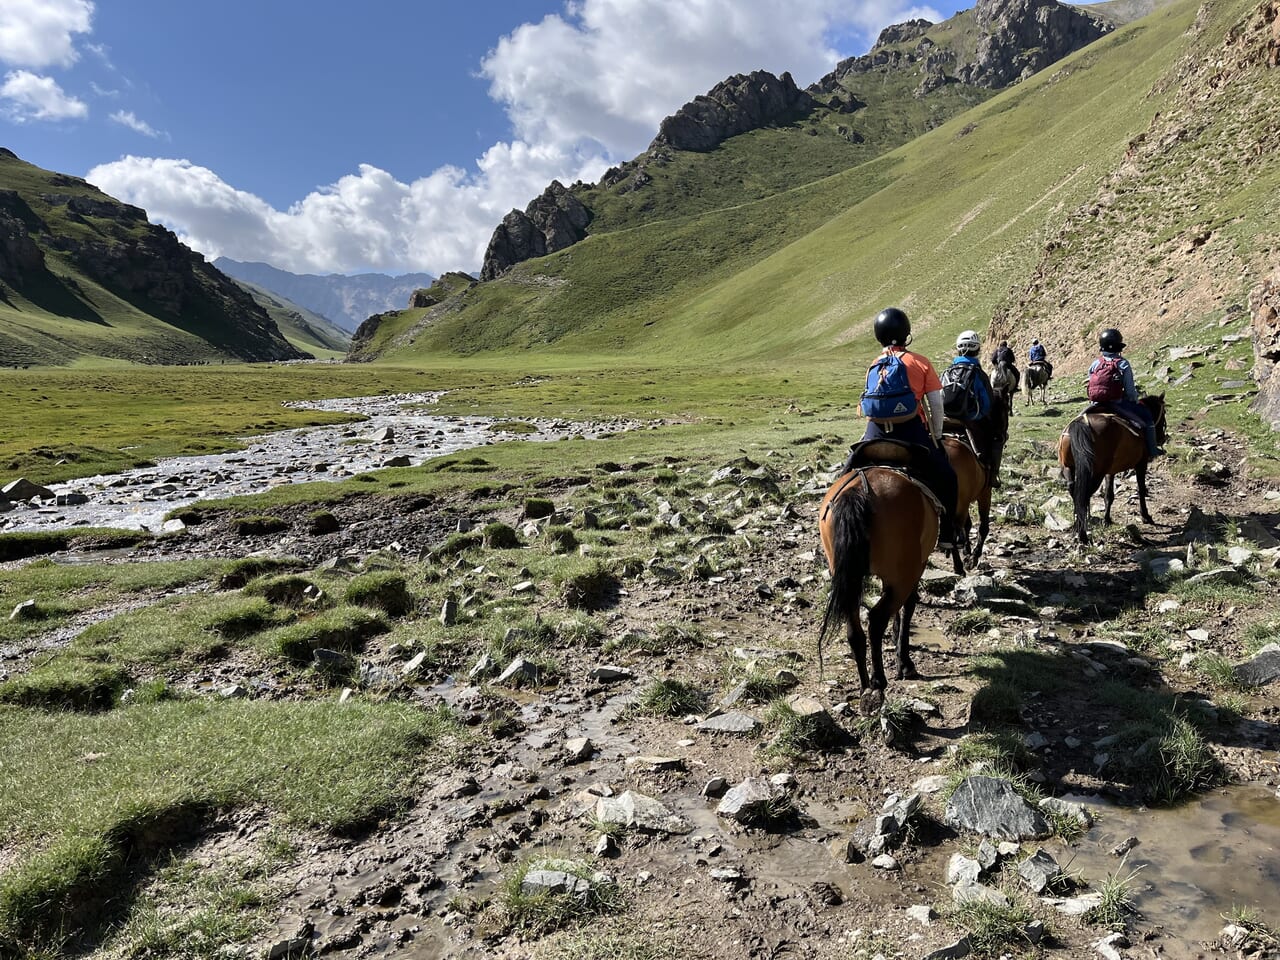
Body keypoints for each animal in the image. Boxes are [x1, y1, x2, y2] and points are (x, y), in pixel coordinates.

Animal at [819, 463, 942, 716]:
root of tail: (859, 491)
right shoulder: (914, 570)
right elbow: (909, 607)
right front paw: (904, 663)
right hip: (902, 576)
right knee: (876, 619)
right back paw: (878, 684)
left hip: (849, 579)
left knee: (855, 631)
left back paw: (865, 687)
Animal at [1054, 394, 1167, 545]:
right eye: (1164, 412)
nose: (1162, 438)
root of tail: (1081, 424)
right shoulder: (1141, 464)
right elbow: (1141, 490)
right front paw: (1146, 516)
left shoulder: (1110, 471)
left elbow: (1109, 495)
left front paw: (1106, 520)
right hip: (1096, 473)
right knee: (1084, 495)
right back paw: (1083, 535)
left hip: (1069, 468)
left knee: (1075, 492)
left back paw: (1077, 526)